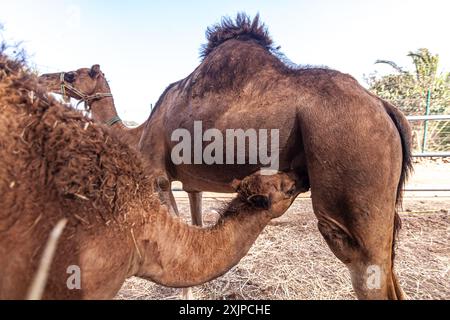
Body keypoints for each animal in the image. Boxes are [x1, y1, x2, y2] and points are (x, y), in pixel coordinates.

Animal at [40, 13, 414, 298]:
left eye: (72, 73)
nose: (44, 77)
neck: (138, 132)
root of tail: (385, 107)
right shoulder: (191, 183)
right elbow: (193, 225)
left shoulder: (159, 178)